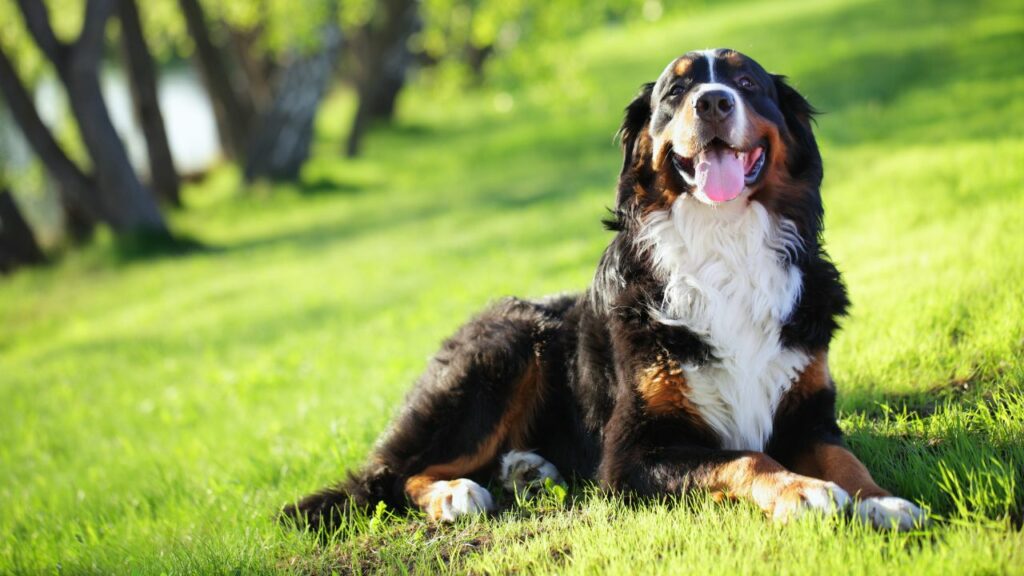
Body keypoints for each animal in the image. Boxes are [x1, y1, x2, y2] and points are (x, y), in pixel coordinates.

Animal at [282, 48, 929, 528]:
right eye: (675, 93)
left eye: (747, 82)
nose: (713, 101)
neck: (724, 244)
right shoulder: (631, 452)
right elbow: (747, 456)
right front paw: (803, 491)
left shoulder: (809, 412)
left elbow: (844, 459)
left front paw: (883, 500)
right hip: (506, 346)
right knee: (396, 475)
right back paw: (456, 494)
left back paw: (526, 469)